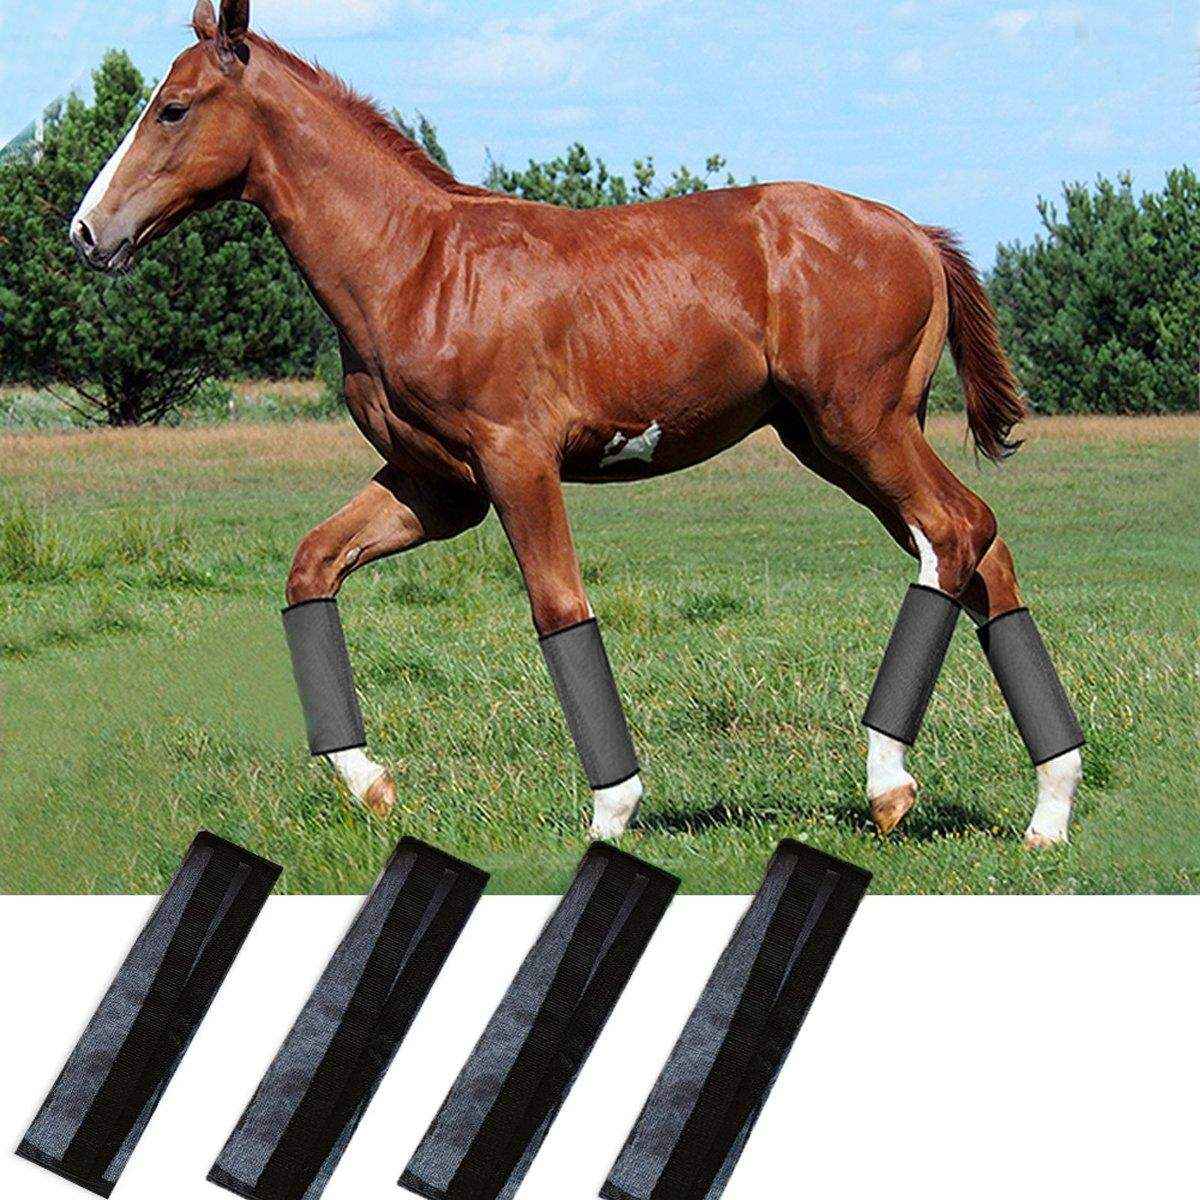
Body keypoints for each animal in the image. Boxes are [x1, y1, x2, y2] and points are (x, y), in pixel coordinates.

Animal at [69, 0, 1084, 845]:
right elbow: (312, 565)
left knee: (955, 531)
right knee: (980, 552)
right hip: (836, 444)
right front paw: (371, 785)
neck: (416, 263)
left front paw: (612, 813)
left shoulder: (517, 460)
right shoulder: (435, 487)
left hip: (863, 428)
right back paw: (1049, 812)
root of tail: (916, 234)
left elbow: (559, 607)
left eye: (173, 109)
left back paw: (890, 785)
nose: (87, 232)